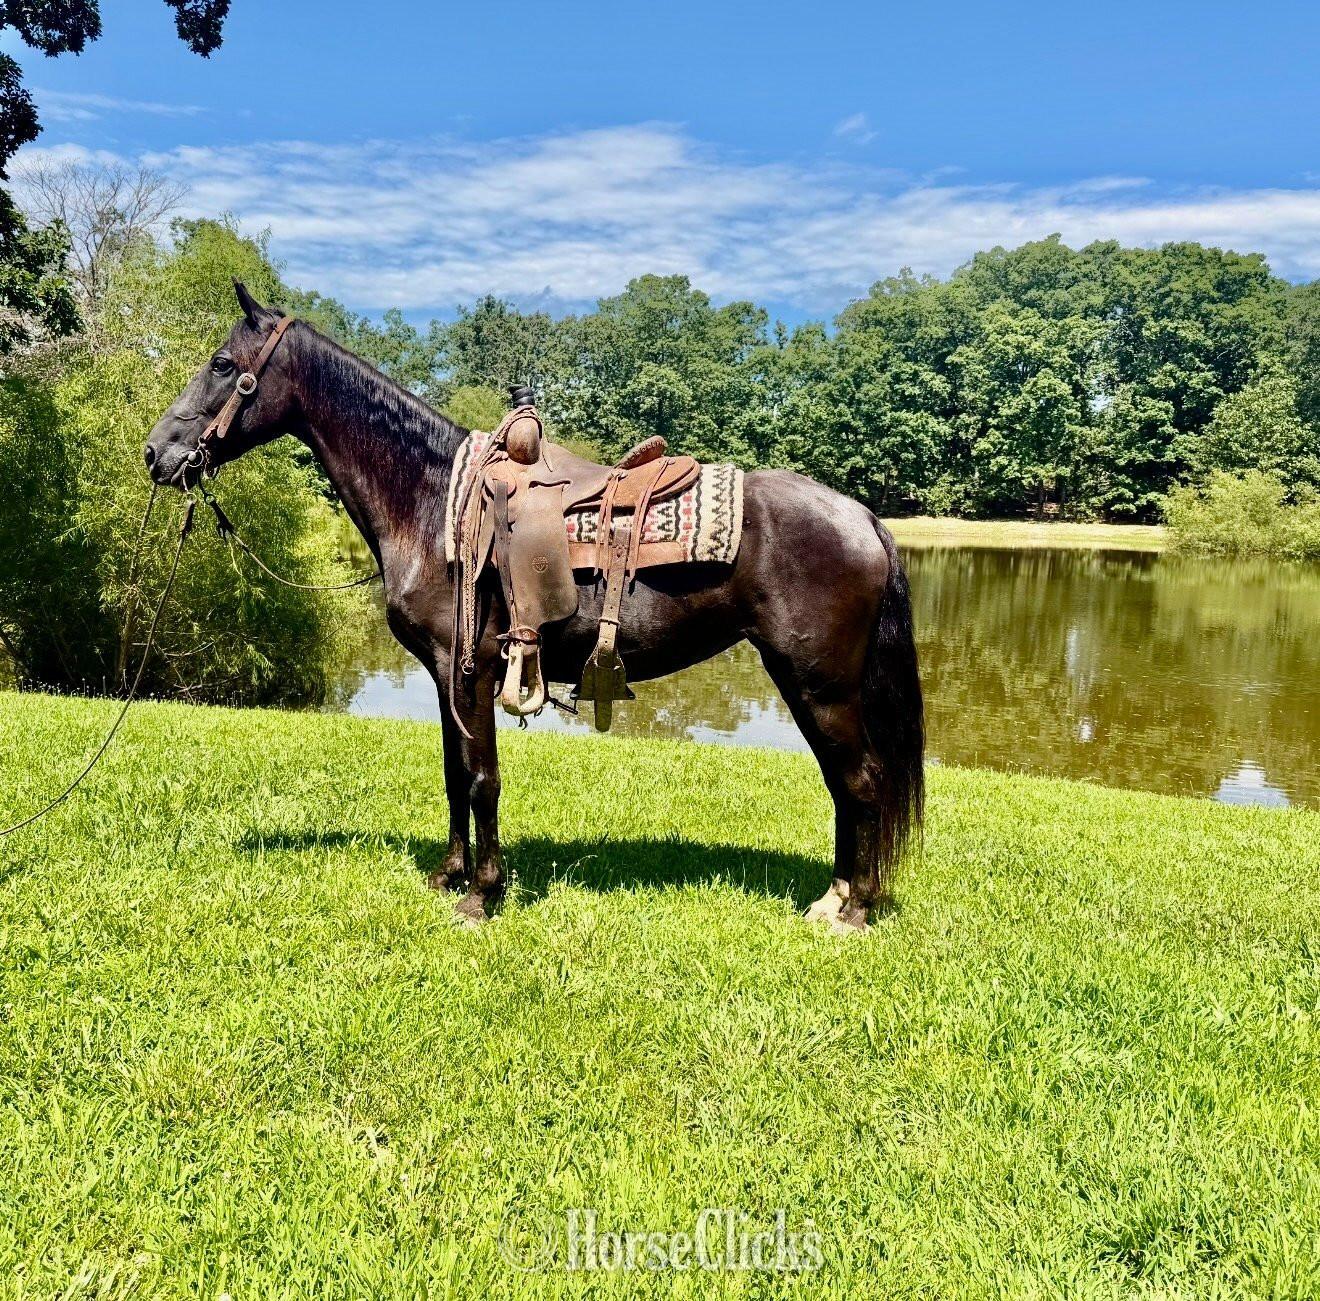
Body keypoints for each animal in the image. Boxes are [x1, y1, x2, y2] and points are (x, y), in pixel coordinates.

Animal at [144, 282, 924, 933]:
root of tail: (862, 516)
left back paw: (855, 910)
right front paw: (449, 874)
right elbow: (454, 776)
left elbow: (481, 778)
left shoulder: (475, 670)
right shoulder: (445, 675)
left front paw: (481, 894)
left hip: (820, 684)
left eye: (222, 364)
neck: (433, 501)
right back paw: (835, 896)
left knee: (862, 781)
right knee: (845, 785)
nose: (156, 453)